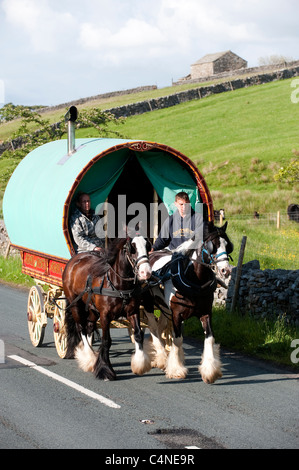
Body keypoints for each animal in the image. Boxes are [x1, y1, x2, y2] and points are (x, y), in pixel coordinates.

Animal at [62, 237, 152, 380]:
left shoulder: (133, 312)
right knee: (81, 328)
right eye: (131, 248)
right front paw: (105, 369)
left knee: (89, 326)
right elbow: (106, 341)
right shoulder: (105, 316)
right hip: (75, 304)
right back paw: (88, 358)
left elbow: (138, 335)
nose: (146, 272)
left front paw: (140, 364)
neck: (118, 286)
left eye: (148, 246)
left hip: (92, 309)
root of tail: (74, 260)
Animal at [144, 222, 234, 384]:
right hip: (148, 305)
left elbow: (209, 338)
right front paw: (176, 370)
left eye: (227, 245)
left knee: (160, 328)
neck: (195, 281)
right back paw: (160, 358)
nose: (226, 270)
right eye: (213, 245)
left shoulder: (205, 313)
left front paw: (210, 371)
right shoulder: (177, 314)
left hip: (165, 310)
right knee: (153, 328)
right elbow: (177, 339)